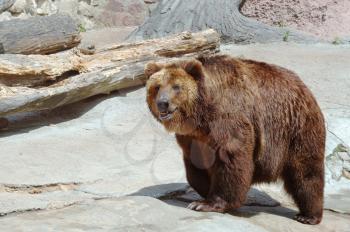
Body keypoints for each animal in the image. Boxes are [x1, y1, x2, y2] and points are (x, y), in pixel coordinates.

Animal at [144, 54, 324, 225]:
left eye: (176, 87)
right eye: (157, 87)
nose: (163, 103)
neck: (201, 117)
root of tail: (304, 87)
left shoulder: (228, 119)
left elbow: (231, 159)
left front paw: (206, 203)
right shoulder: (192, 138)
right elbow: (196, 165)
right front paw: (204, 191)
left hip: (296, 128)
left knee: (305, 171)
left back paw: (308, 216)